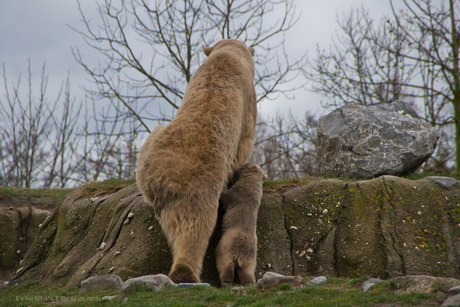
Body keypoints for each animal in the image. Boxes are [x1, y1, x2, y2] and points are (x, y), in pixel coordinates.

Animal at [137, 39, 258, 286]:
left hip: (149, 150)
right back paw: (186, 272)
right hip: (202, 173)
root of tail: (162, 175)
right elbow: (244, 140)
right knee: (197, 223)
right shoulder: (247, 101)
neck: (227, 56)